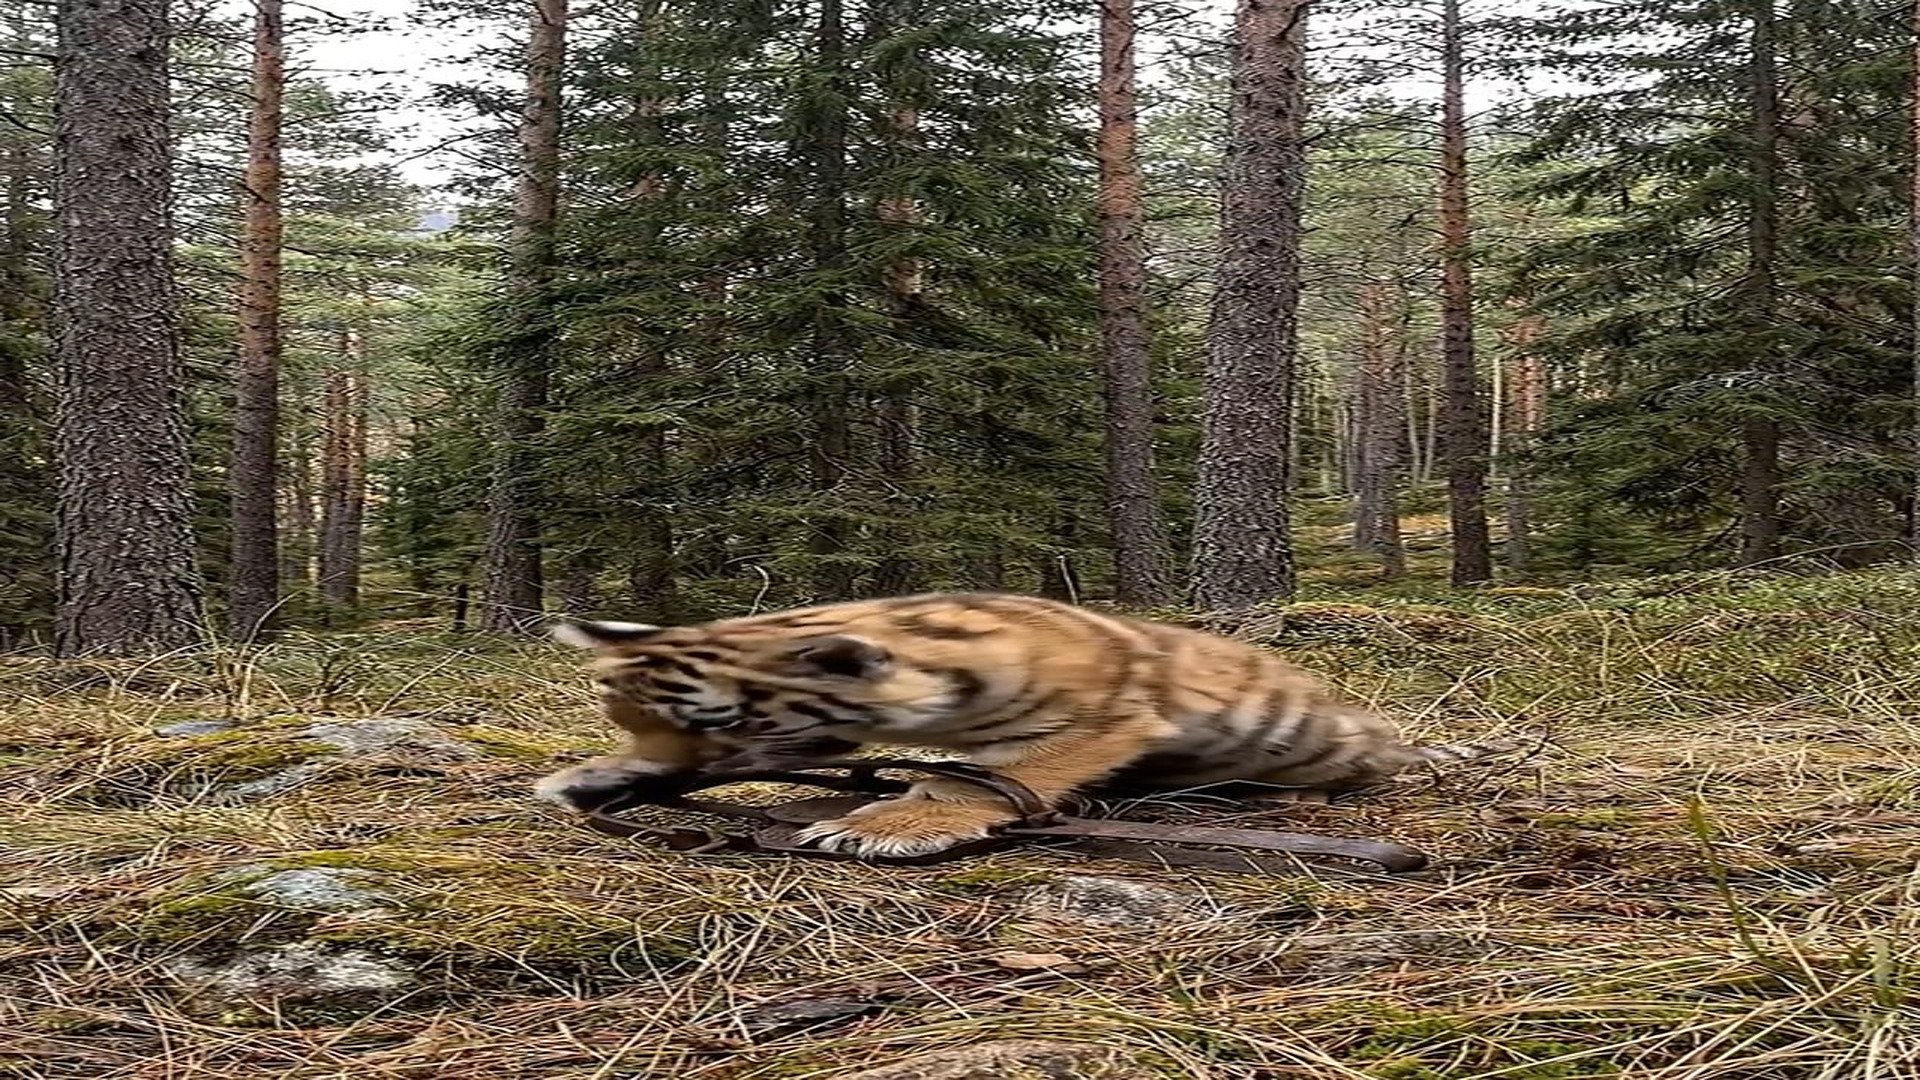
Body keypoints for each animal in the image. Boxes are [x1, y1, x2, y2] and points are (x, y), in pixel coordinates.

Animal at [534, 591, 1516, 858]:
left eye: (720, 726)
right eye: (629, 721)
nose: (652, 757)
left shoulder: (1102, 716)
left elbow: (972, 775)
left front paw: (887, 823)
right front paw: (596, 778)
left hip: (1317, 740)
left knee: (1380, 755)